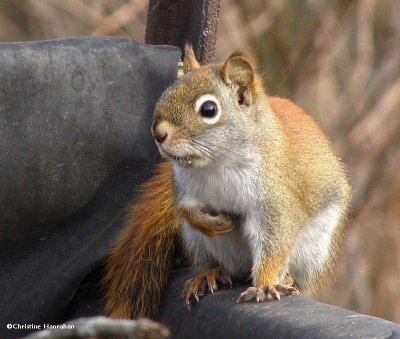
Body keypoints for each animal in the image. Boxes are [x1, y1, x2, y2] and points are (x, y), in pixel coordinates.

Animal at [102, 46, 350, 320]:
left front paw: (264, 284)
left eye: (209, 109)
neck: (217, 165)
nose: (158, 133)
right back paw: (211, 273)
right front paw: (211, 222)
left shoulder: (276, 200)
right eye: (165, 94)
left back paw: (284, 278)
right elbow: (185, 209)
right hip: (199, 243)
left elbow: (274, 243)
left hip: (312, 249)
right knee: (224, 266)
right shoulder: (183, 188)